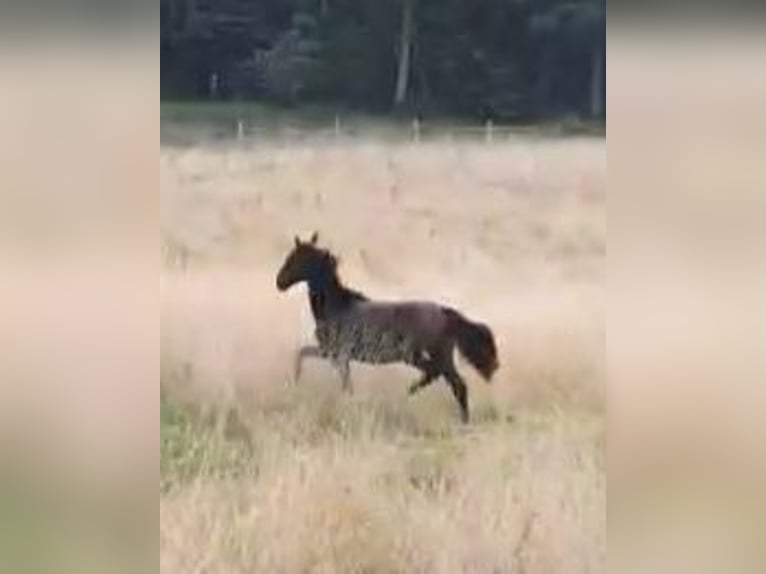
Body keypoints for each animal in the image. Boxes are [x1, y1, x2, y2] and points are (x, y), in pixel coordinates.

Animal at [274, 233, 498, 424]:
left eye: (295, 258)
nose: (279, 282)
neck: (337, 307)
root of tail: (444, 312)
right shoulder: (329, 352)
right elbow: (301, 354)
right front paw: (297, 382)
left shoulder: (339, 354)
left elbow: (343, 381)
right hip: (437, 356)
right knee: (449, 381)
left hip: (423, 355)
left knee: (447, 379)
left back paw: (416, 396)